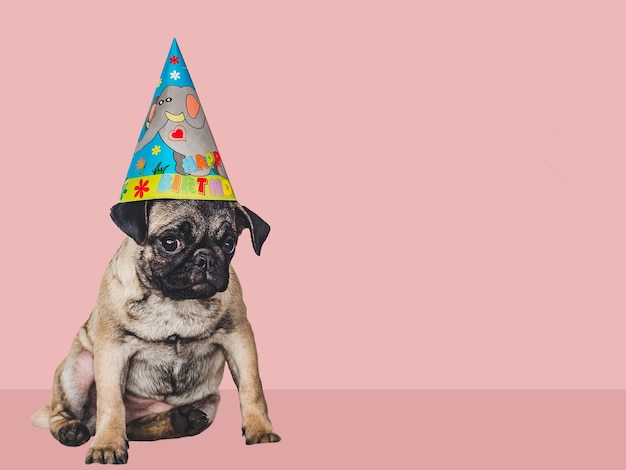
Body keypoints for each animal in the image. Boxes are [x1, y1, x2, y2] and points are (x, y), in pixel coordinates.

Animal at [31, 197, 280, 462]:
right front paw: (107, 445)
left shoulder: (238, 338)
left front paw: (260, 429)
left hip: (208, 404)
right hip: (76, 369)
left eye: (228, 244)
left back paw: (181, 420)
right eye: (170, 243)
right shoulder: (112, 350)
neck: (173, 301)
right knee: (60, 413)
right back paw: (71, 430)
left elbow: (252, 388)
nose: (206, 258)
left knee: (134, 427)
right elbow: (112, 403)